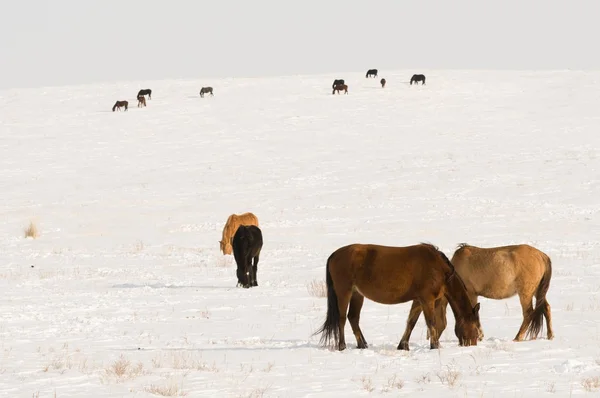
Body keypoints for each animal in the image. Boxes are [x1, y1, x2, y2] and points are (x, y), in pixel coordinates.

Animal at [312, 243, 480, 352]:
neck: (438, 269)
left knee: (353, 318)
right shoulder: (427, 300)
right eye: (475, 328)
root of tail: (334, 255)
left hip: (357, 295)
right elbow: (431, 322)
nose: (472, 345)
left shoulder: (418, 300)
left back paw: (362, 345)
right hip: (344, 292)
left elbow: (411, 322)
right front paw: (435, 346)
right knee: (341, 319)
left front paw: (403, 345)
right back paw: (342, 346)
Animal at [400, 244, 556, 344]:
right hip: (537, 291)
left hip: (525, 292)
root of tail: (542, 256)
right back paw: (550, 335)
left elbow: (475, 314)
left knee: (528, 313)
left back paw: (518, 337)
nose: (432, 338)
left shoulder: (471, 293)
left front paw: (480, 335)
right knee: (546, 308)